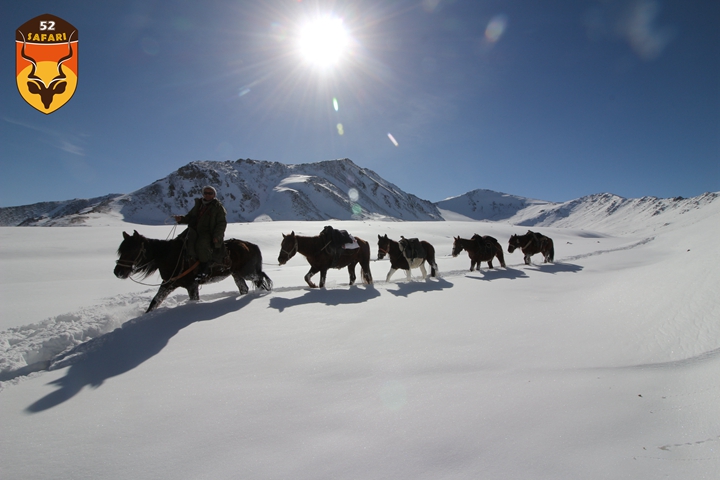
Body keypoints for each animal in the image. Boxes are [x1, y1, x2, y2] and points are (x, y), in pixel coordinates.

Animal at [115, 231, 272, 314]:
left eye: (132, 250)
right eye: (121, 250)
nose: (118, 272)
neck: (170, 256)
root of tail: (251, 245)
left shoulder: (192, 285)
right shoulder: (168, 284)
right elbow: (155, 301)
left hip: (247, 272)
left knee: (260, 279)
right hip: (236, 274)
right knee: (244, 288)